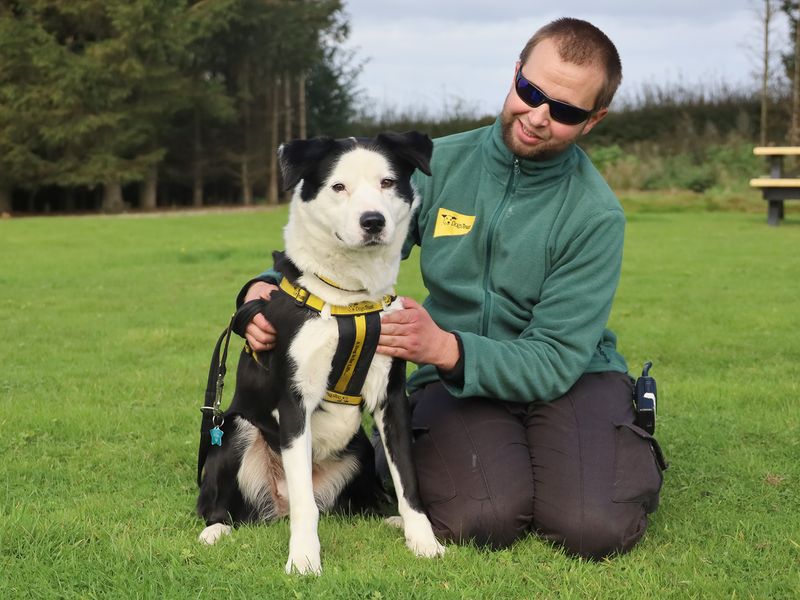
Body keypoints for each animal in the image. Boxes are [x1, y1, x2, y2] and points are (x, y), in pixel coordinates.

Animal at [195, 132, 444, 576]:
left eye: (387, 182)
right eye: (338, 186)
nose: (373, 221)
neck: (349, 299)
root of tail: (274, 504)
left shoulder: (392, 399)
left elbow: (408, 480)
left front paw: (423, 540)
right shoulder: (295, 403)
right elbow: (305, 506)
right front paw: (304, 558)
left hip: (360, 448)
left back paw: (390, 520)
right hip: (235, 429)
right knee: (224, 505)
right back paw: (215, 530)